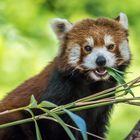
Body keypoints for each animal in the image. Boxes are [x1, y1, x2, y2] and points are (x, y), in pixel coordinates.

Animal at [0, 12, 131, 139]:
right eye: (87, 48)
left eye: (110, 46)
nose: (101, 60)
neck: (92, 83)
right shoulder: (59, 93)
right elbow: (58, 126)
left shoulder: (102, 102)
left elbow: (95, 129)